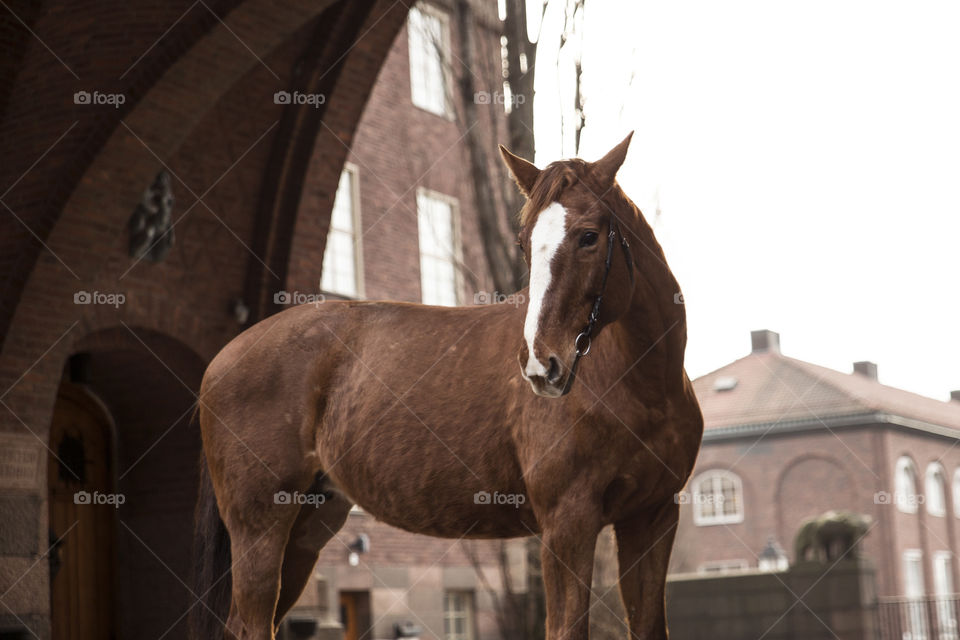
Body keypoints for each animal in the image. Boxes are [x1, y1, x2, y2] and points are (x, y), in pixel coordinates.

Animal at [191, 132, 704, 636]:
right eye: (524, 243)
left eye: (589, 237)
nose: (541, 364)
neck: (641, 388)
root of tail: (221, 359)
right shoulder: (568, 521)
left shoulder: (652, 517)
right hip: (260, 524)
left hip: (307, 526)